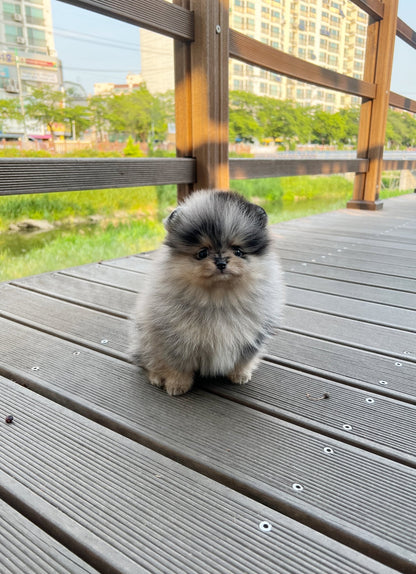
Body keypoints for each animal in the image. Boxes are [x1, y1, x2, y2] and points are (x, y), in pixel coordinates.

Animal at [131, 190, 286, 396]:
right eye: (202, 253)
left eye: (238, 251)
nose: (221, 262)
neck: (219, 299)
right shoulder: (175, 341)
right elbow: (177, 367)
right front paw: (177, 385)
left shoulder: (251, 338)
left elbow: (244, 360)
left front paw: (240, 375)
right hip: (146, 339)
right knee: (150, 360)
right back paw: (157, 377)